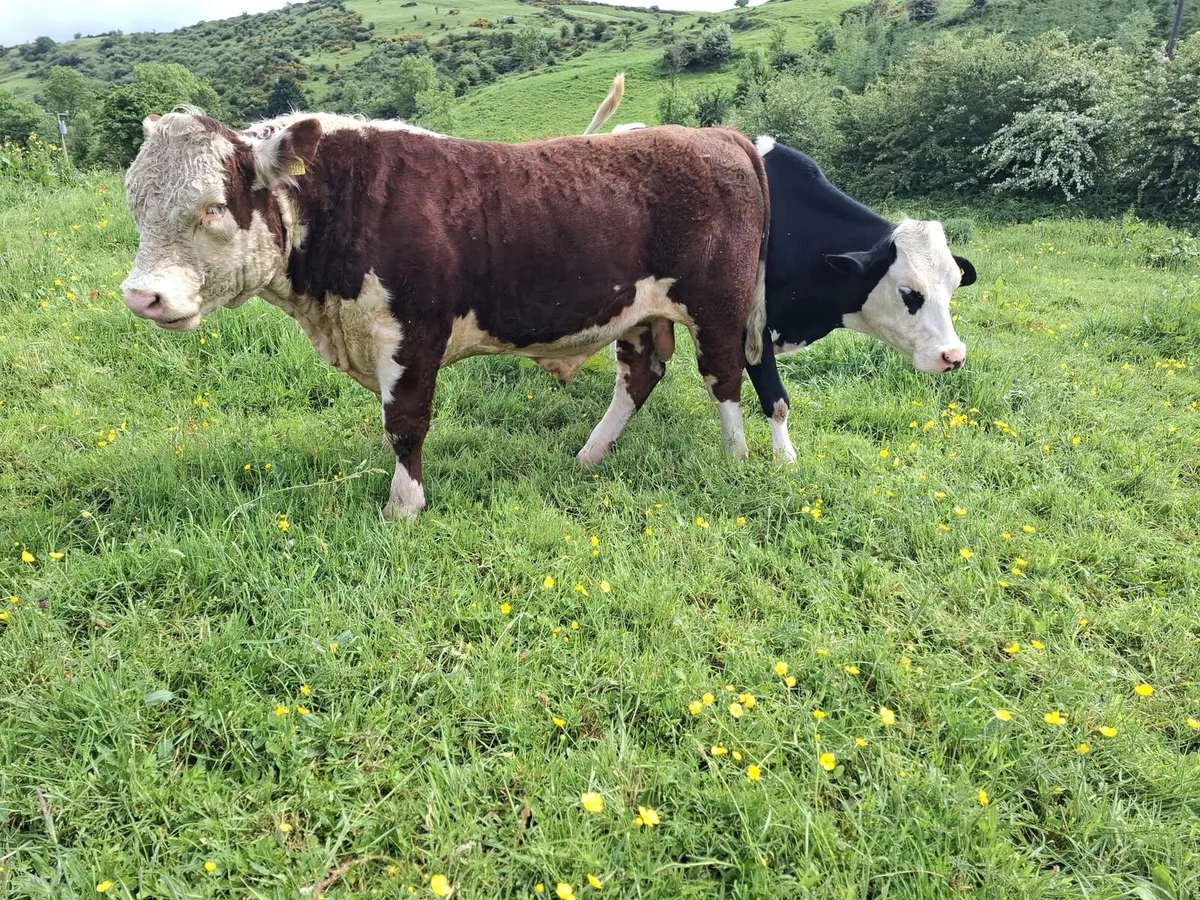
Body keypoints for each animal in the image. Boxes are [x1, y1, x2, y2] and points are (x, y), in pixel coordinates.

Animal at [120, 108, 770, 519]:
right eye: (136, 203)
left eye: (212, 206)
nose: (140, 296)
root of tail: (719, 136)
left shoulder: (411, 335)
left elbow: (405, 422)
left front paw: (403, 506)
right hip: (635, 313)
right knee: (639, 377)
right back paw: (589, 456)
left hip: (719, 306)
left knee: (724, 376)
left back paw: (736, 459)